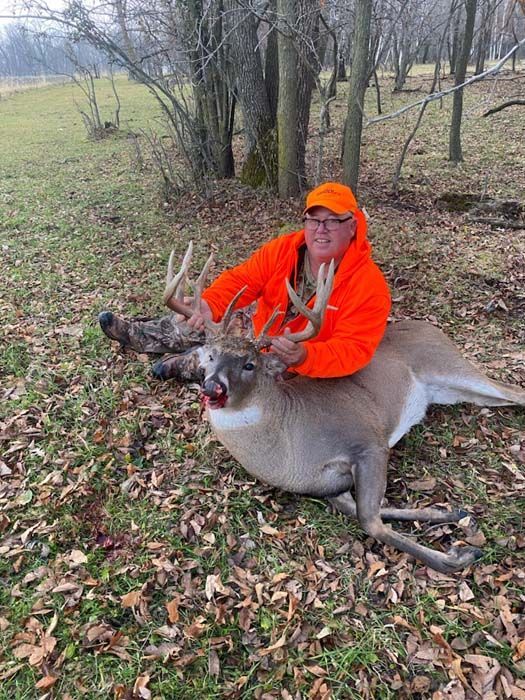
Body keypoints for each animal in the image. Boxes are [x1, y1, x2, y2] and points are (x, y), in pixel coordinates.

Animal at [161, 243, 525, 574]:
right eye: (211, 357)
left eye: (250, 364)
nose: (213, 387)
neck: (288, 450)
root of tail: (430, 326)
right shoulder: (330, 486)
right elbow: (366, 510)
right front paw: (453, 514)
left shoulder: (369, 442)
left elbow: (370, 520)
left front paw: (460, 554)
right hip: (451, 391)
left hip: (446, 364)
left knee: (514, 390)